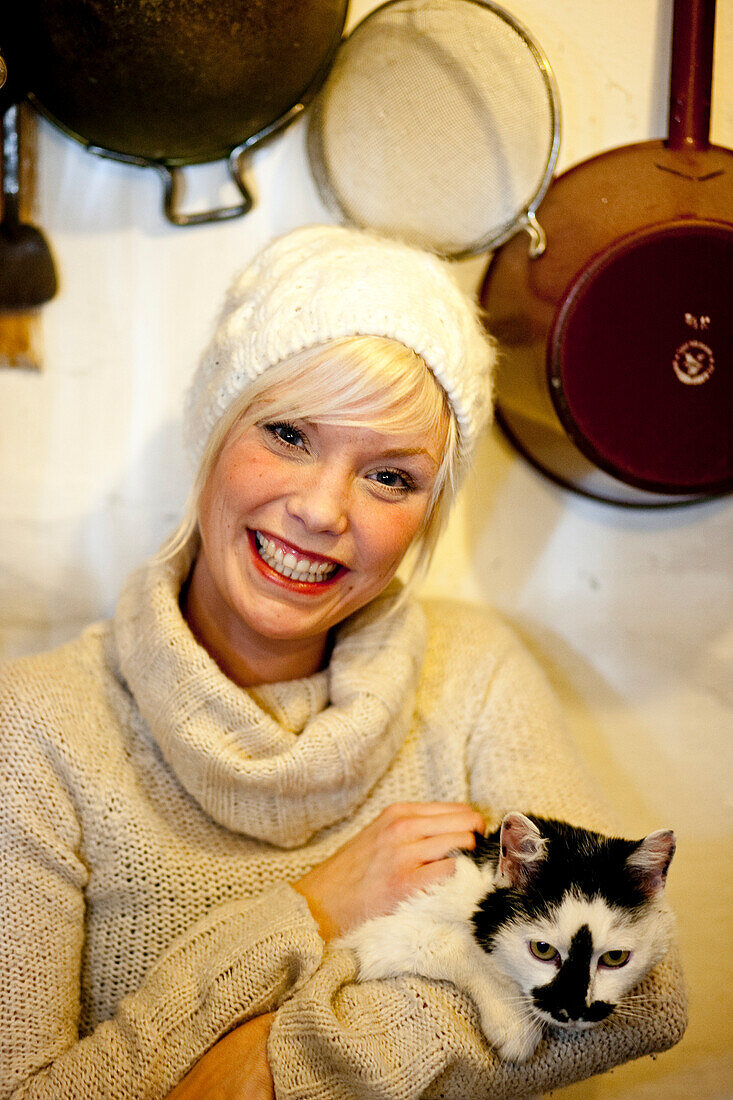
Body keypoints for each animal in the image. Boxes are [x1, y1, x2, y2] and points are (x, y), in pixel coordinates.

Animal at [336, 814, 673, 1060]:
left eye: (615, 958)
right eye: (542, 949)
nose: (573, 1010)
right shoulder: (377, 937)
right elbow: (459, 944)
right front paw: (514, 1021)